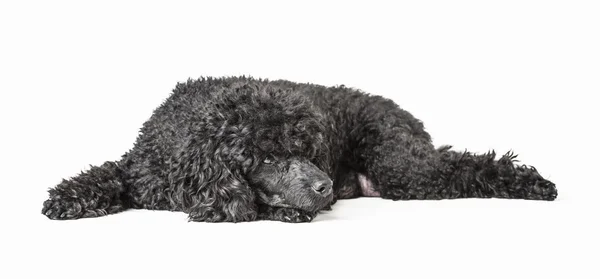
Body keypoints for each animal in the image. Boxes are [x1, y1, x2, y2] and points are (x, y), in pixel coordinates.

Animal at [42, 77, 556, 224]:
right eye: (267, 157)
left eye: (307, 148)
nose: (325, 185)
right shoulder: (140, 168)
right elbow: (106, 173)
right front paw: (67, 198)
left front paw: (288, 211)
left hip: (402, 166)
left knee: (467, 166)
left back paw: (534, 182)